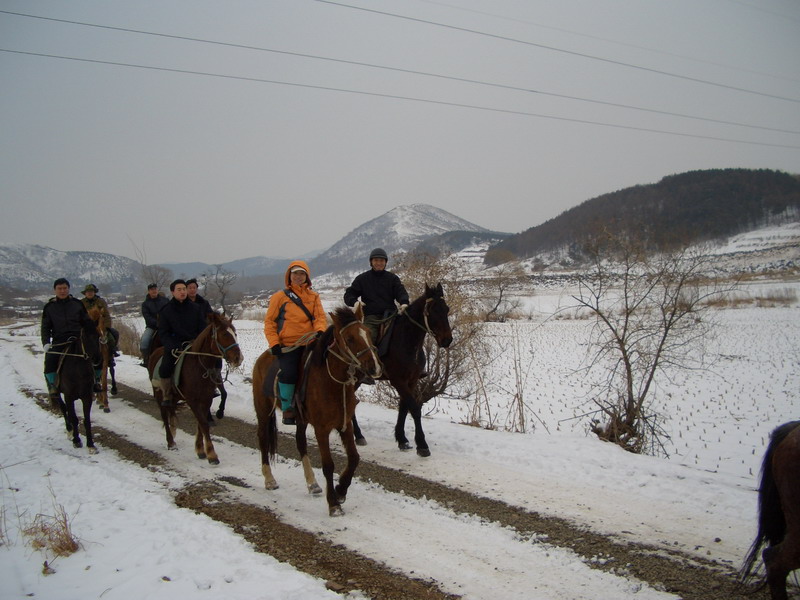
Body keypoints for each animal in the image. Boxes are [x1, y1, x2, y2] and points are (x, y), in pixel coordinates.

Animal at [48, 314, 101, 450]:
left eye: (98, 335)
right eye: (85, 336)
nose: (97, 360)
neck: (78, 371)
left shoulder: (87, 397)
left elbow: (87, 420)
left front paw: (90, 444)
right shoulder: (69, 396)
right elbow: (74, 418)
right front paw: (77, 440)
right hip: (58, 392)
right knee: (63, 408)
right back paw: (69, 431)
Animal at [147, 314, 241, 464]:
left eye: (235, 333)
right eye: (225, 334)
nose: (238, 358)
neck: (199, 366)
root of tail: (156, 352)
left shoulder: (206, 399)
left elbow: (200, 424)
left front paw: (200, 450)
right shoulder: (193, 400)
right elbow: (203, 423)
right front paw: (212, 455)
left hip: (175, 396)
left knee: (171, 411)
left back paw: (173, 431)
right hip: (159, 394)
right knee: (164, 415)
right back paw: (171, 442)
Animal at [255, 304, 382, 516]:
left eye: (368, 334)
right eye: (349, 339)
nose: (375, 367)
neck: (332, 383)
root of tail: (262, 358)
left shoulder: (345, 424)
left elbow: (354, 458)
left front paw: (341, 490)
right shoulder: (322, 430)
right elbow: (328, 465)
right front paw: (334, 504)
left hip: (300, 419)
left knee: (301, 444)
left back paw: (312, 484)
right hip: (264, 412)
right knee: (264, 440)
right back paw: (269, 479)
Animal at [352, 284, 454, 458]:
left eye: (446, 309)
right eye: (432, 310)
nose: (447, 340)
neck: (407, 340)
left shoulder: (410, 381)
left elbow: (404, 408)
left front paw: (402, 439)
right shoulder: (398, 381)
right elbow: (414, 409)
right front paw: (422, 444)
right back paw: (358, 434)